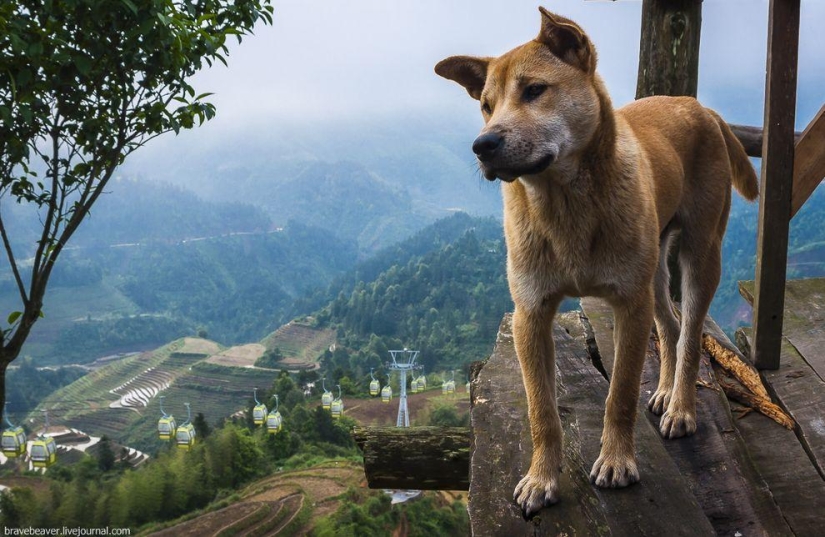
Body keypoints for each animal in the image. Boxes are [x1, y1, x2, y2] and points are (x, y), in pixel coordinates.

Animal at [434, 6, 756, 516]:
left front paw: (617, 461)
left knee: (689, 334)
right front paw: (541, 478)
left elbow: (620, 392)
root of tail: (698, 106)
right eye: (485, 104)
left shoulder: (628, 305)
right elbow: (541, 409)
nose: (482, 145)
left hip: (700, 253)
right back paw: (664, 391)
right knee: (669, 325)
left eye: (534, 90)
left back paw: (681, 405)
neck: (565, 204)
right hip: (654, 270)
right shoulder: (530, 314)